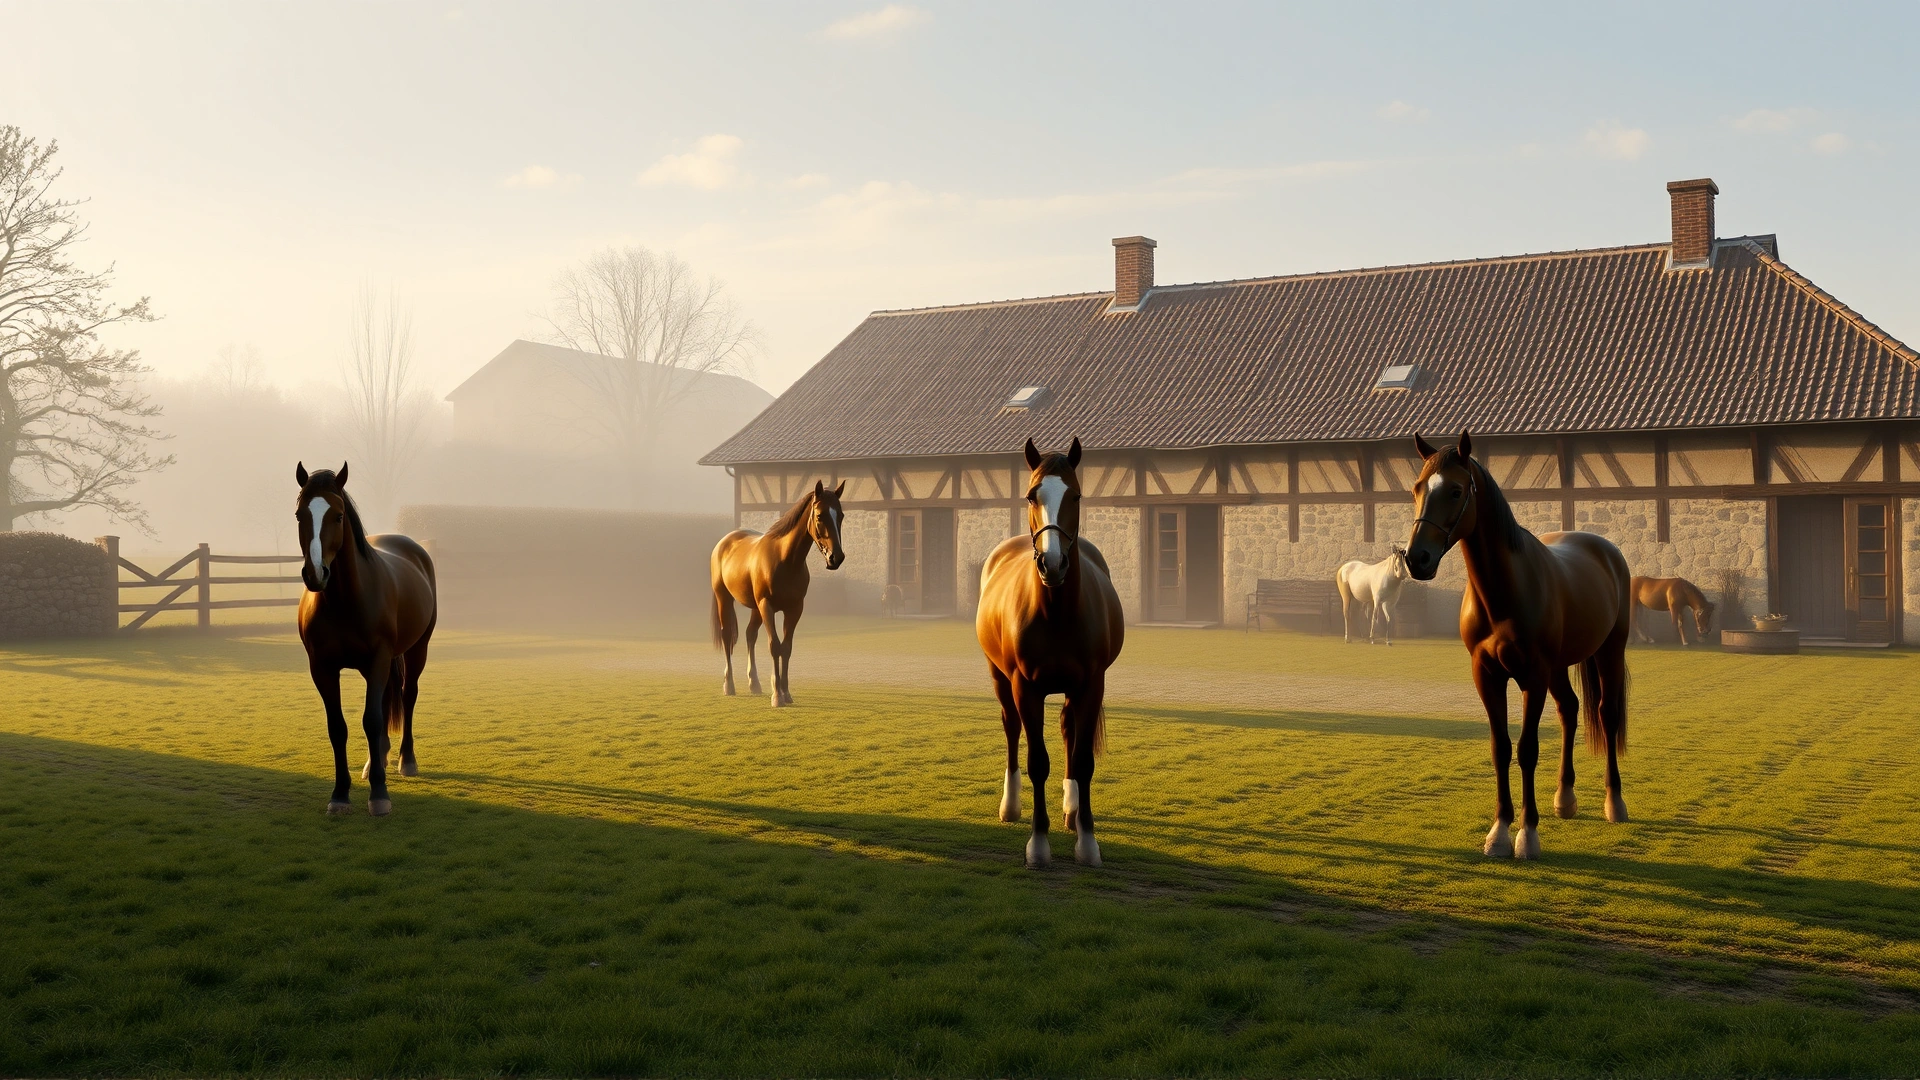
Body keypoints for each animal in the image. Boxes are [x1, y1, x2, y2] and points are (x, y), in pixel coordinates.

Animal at [294, 462, 438, 817]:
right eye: (300, 515)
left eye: (338, 516)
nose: (316, 573)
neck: (345, 601)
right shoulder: (322, 668)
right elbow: (338, 727)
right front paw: (340, 795)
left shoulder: (379, 659)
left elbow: (371, 720)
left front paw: (379, 795)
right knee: (385, 700)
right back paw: (377, 760)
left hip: (417, 650)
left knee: (407, 696)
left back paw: (405, 760)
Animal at [710, 480, 846, 707]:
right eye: (820, 515)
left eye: (841, 515)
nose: (836, 557)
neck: (784, 559)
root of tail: (724, 542)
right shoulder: (768, 606)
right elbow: (774, 646)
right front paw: (777, 696)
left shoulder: (794, 609)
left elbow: (786, 648)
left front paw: (786, 692)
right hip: (725, 598)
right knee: (727, 635)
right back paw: (729, 685)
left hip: (755, 608)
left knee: (750, 634)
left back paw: (755, 684)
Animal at [977, 438, 1125, 868]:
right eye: (1031, 495)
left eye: (1075, 495)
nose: (1052, 563)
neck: (1056, 611)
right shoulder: (1025, 688)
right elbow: (1036, 762)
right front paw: (1038, 845)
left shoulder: (1091, 685)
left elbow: (1083, 760)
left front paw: (1087, 842)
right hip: (999, 678)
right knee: (1011, 729)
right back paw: (1010, 806)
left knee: (1068, 731)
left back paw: (1072, 811)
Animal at [1402, 432, 1632, 859]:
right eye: (1417, 488)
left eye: (1456, 490)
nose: (1417, 559)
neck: (1504, 593)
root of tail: (1604, 549)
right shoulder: (1487, 676)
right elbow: (1501, 748)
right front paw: (1499, 832)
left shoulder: (1532, 677)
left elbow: (1527, 749)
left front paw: (1527, 835)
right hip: (1559, 668)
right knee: (1569, 710)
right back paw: (1565, 798)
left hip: (1609, 651)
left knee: (1607, 716)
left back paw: (1615, 803)